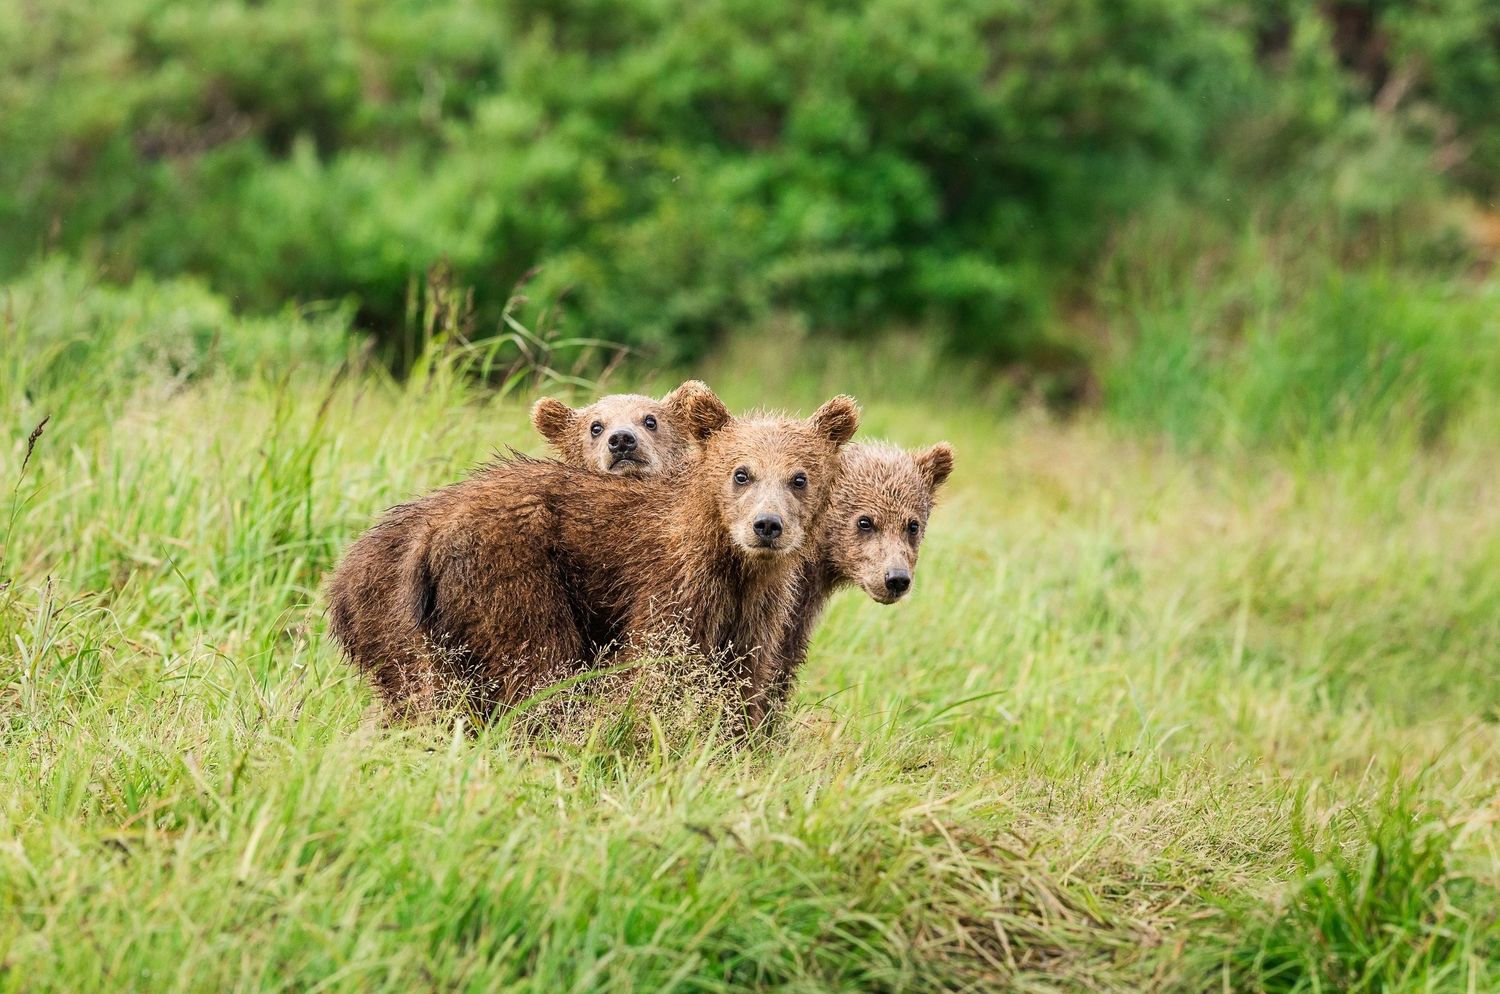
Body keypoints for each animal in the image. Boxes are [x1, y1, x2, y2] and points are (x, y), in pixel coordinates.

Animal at [325, 391, 860, 721]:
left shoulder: (757, 607)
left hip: (391, 622)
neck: (731, 560)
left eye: (800, 477)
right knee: (538, 667)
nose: (767, 525)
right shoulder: (670, 587)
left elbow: (744, 680)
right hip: (510, 576)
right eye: (741, 473)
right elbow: (655, 671)